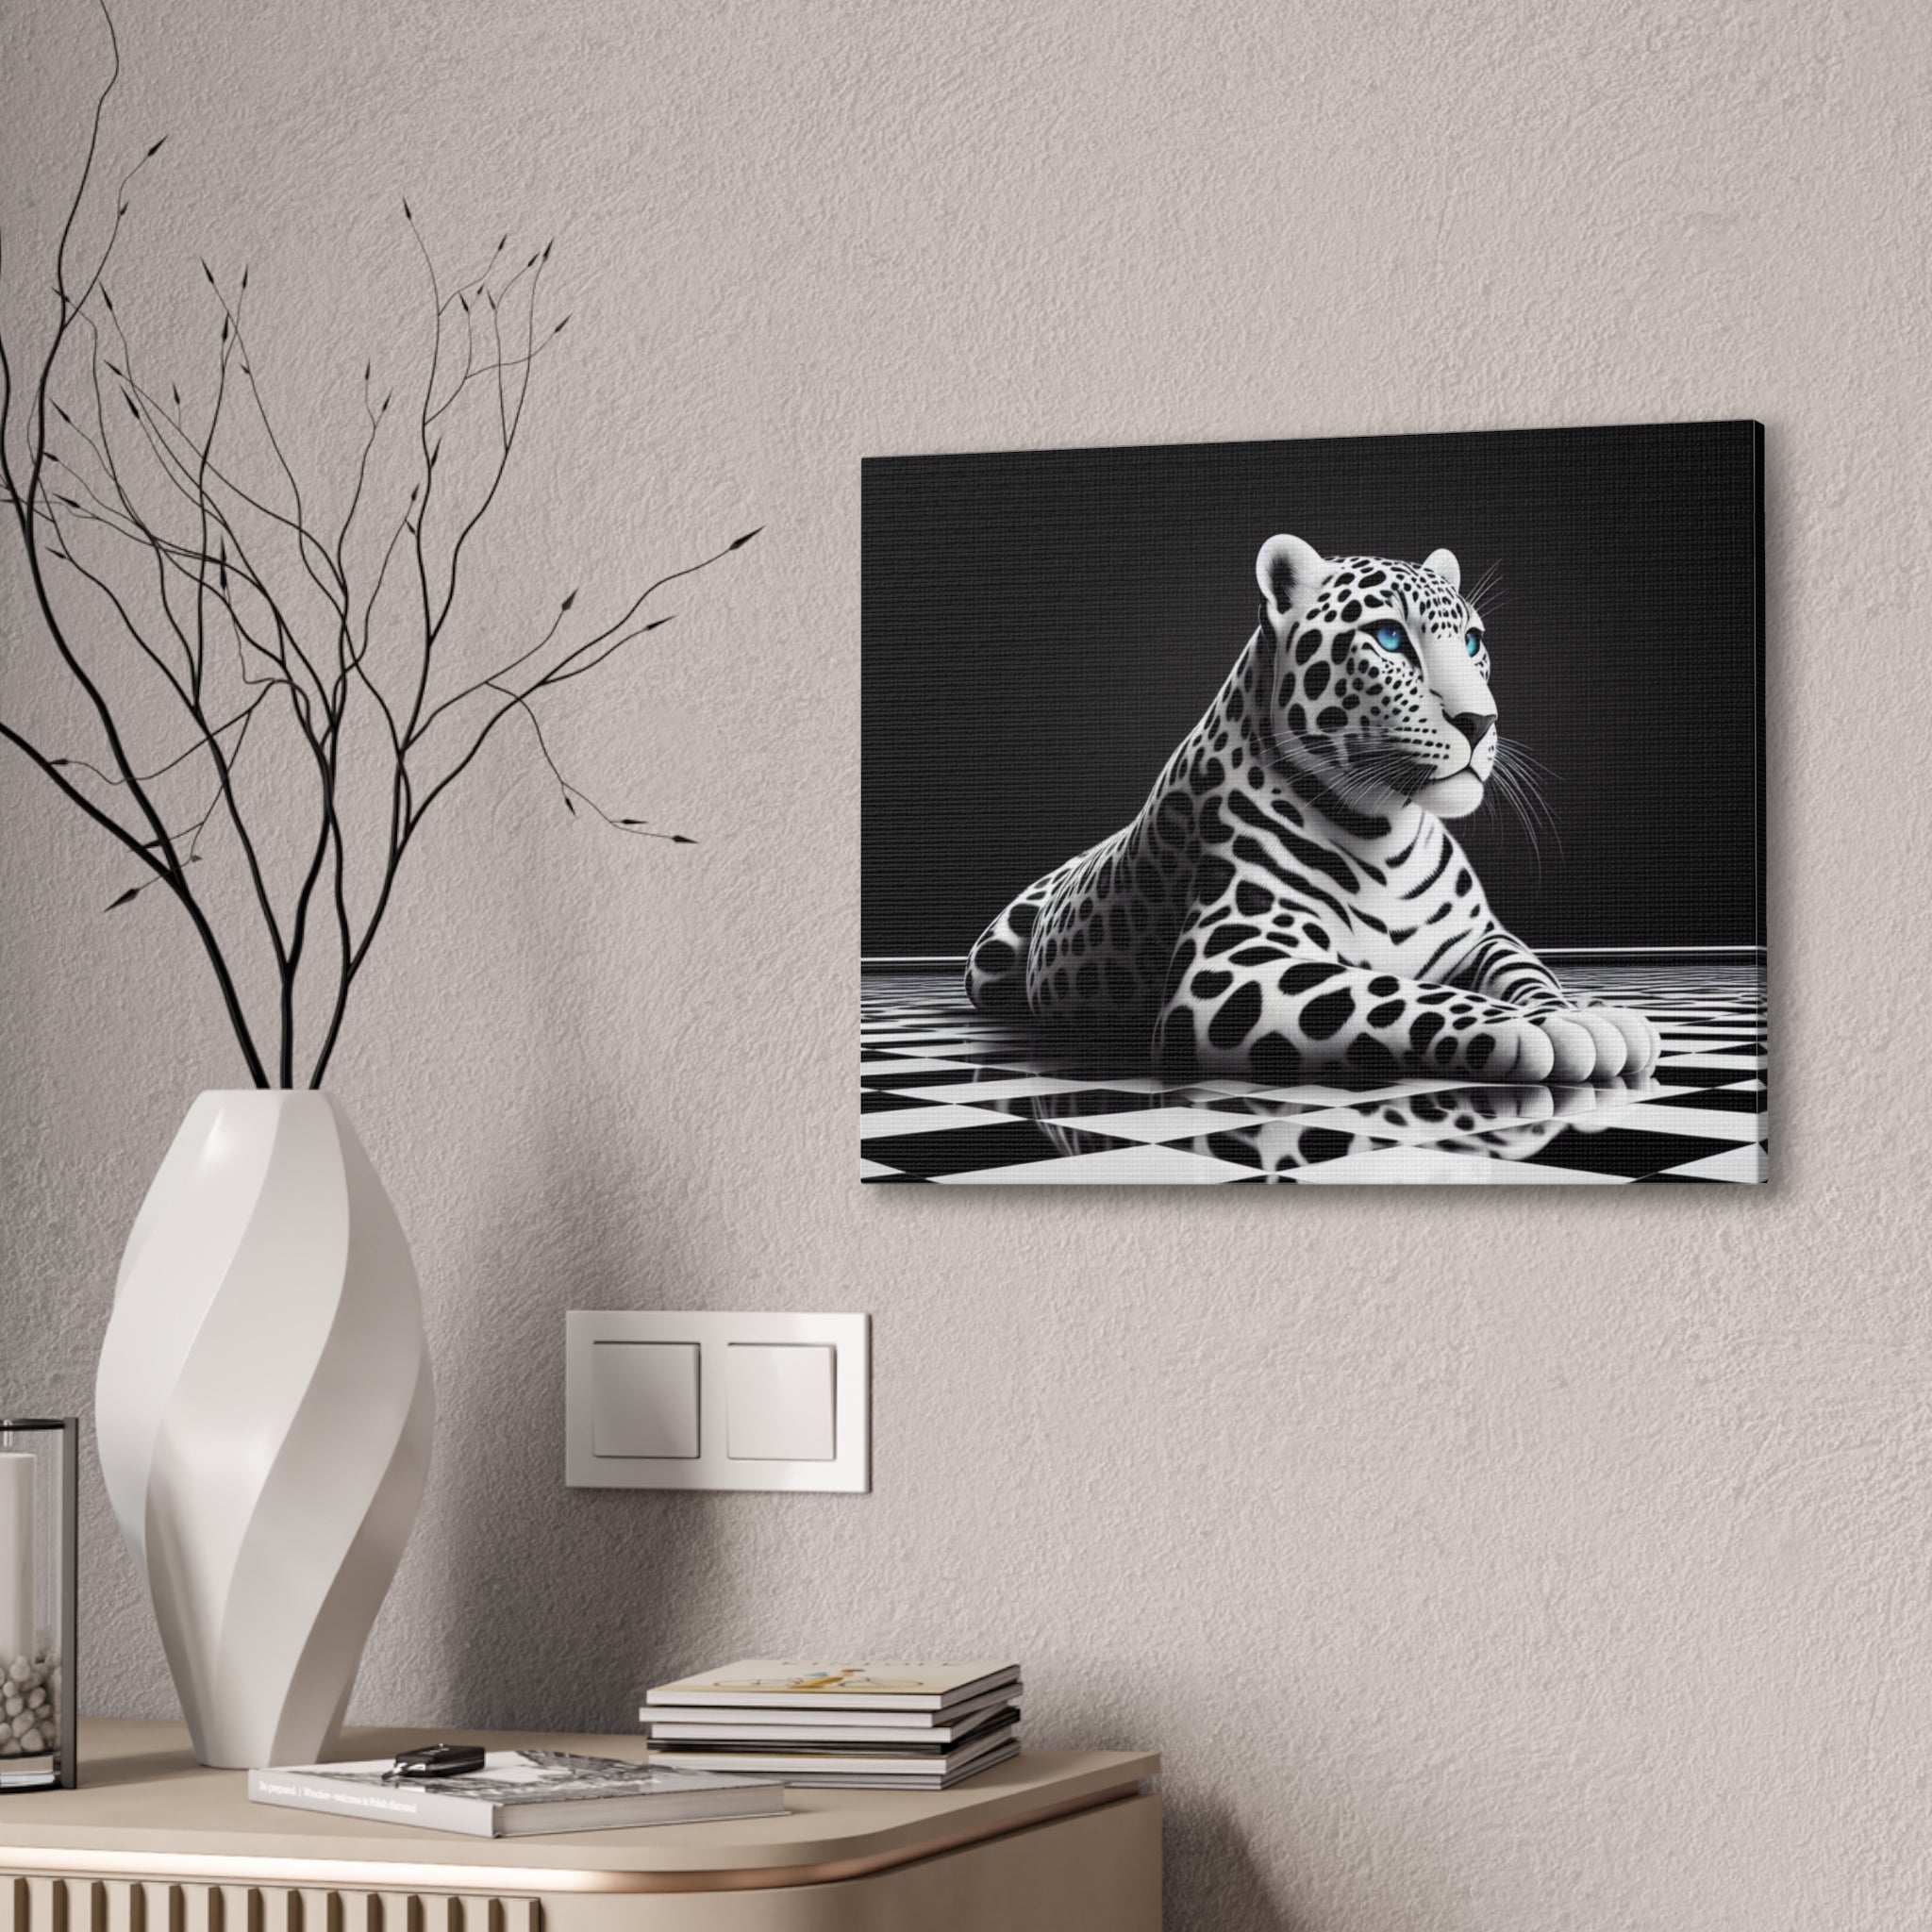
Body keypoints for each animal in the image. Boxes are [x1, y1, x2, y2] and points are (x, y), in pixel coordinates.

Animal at [965, 534, 1660, 1087]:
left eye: (1471, 642)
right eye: (1389, 638)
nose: (1480, 721)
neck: (1388, 833)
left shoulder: (1481, 938)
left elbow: (1530, 973)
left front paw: (1578, 1013)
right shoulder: (1232, 967)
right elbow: (1397, 992)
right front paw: (1537, 1031)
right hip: (987, 962)